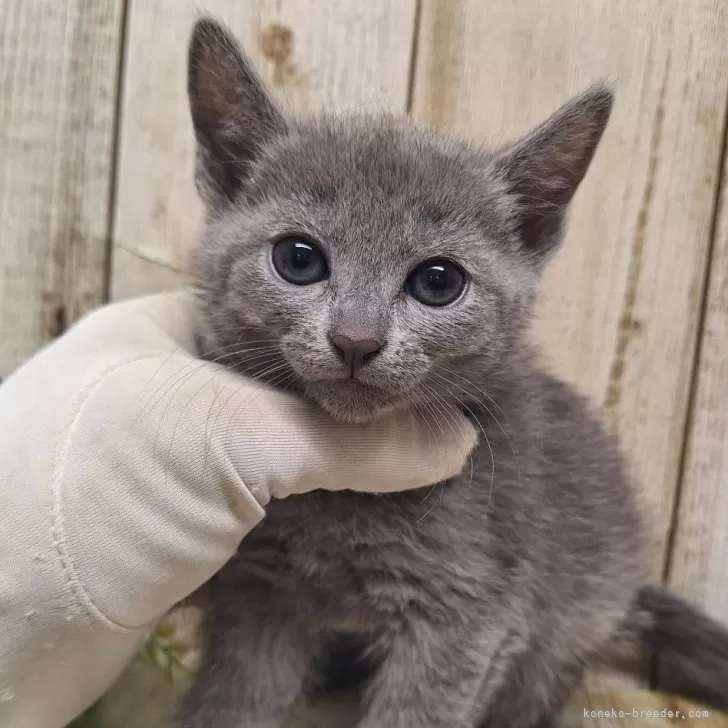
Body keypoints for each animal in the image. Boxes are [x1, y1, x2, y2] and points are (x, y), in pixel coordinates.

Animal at [176, 17, 728, 728]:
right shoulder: (264, 591)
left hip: (564, 635)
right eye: (298, 259)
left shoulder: (468, 613)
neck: (347, 495)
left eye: (438, 282)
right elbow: (232, 698)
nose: (356, 339)